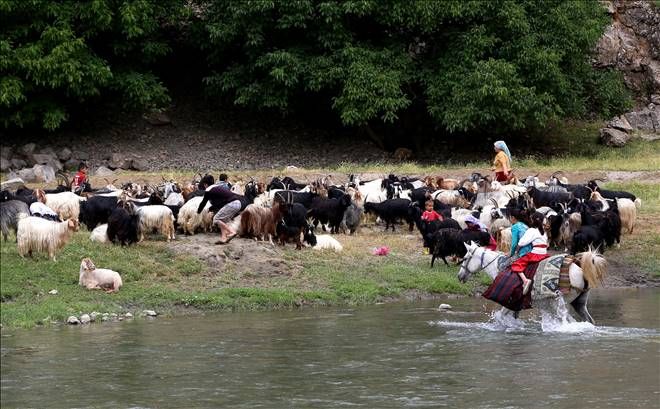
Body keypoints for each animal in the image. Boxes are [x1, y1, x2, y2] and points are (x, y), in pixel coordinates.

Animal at [456, 241, 604, 324]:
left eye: (465, 258)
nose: (459, 276)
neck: (500, 267)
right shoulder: (516, 306)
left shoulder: (508, 303)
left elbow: (500, 317)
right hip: (579, 303)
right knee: (588, 321)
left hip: (558, 304)